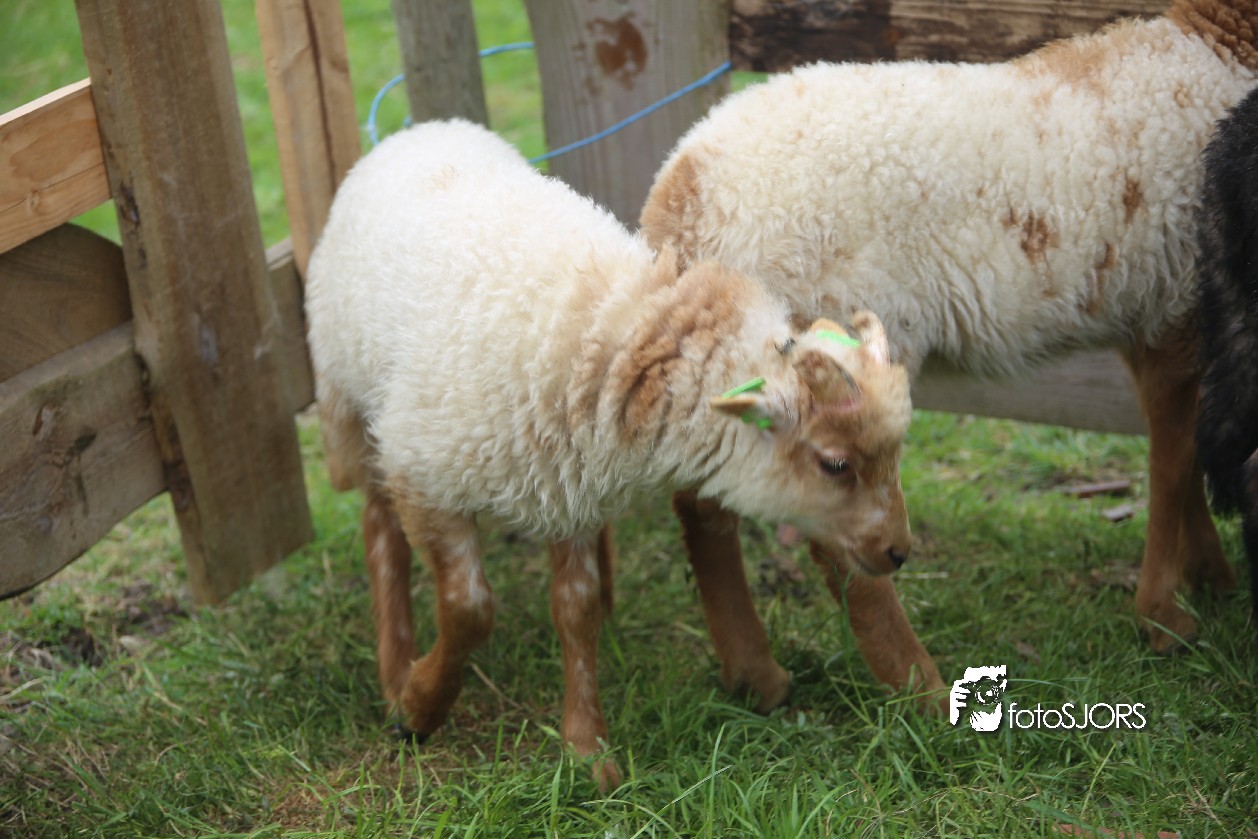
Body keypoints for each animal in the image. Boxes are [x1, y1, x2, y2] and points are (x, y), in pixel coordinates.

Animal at [304, 119, 918, 790]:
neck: (616, 333)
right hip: (353, 402)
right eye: (835, 463)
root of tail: (423, 128)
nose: (899, 552)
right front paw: (421, 705)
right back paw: (394, 671)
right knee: (379, 529)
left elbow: (576, 610)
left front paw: (586, 751)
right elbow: (469, 609)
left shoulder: (568, 489)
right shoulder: (426, 471)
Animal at [642, 0, 1258, 655]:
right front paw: (1166, 617)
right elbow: (1171, 461)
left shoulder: (1153, 313)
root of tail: (682, 199)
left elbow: (1180, 451)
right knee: (837, 539)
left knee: (702, 504)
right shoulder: (1180, 305)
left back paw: (753, 669)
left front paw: (1208, 576)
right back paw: (915, 674)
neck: (1219, 40)